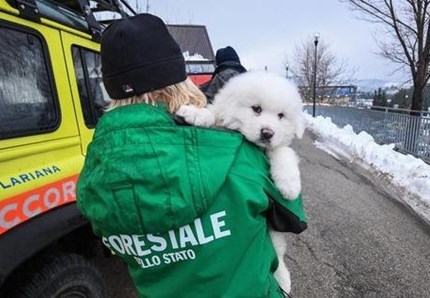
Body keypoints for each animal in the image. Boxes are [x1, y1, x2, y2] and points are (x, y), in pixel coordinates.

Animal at [176, 71, 304, 292]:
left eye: (281, 116)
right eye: (256, 109)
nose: (268, 133)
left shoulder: (277, 146)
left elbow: (282, 151)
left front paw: (289, 185)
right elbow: (212, 114)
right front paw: (195, 113)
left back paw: (283, 279)